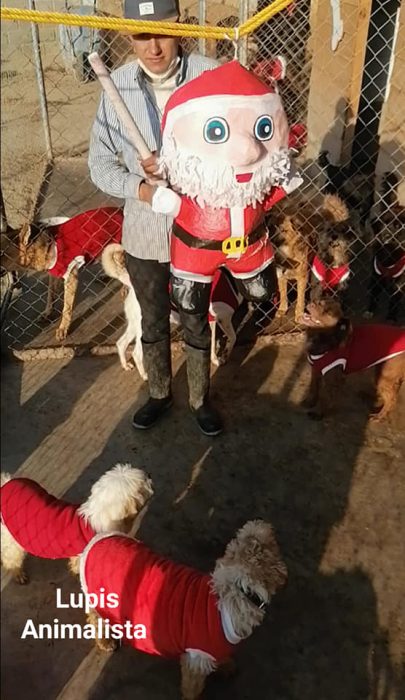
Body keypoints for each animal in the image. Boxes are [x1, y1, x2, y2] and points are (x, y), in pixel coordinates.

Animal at [0, 462, 153, 584]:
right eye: (143, 483)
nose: (150, 474)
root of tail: (5, 484)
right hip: (11, 540)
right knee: (10, 558)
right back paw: (18, 574)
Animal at [80, 516, 286, 696]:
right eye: (270, 541)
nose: (263, 523)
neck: (237, 590)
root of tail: (102, 535)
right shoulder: (196, 658)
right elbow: (192, 687)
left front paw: (226, 665)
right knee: (96, 620)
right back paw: (106, 641)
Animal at [102, 243, 252, 380]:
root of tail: (131, 284)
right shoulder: (214, 320)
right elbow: (221, 341)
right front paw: (217, 359)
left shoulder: (219, 320)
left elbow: (233, 337)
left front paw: (225, 354)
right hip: (145, 329)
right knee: (136, 353)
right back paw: (145, 375)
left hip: (135, 325)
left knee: (121, 343)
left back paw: (126, 365)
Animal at [266, 191, 348, 322]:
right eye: (270, 228)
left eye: (283, 230)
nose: (271, 242)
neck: (286, 253)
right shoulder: (281, 276)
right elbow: (283, 295)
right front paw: (282, 309)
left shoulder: (302, 277)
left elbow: (300, 298)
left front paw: (299, 314)